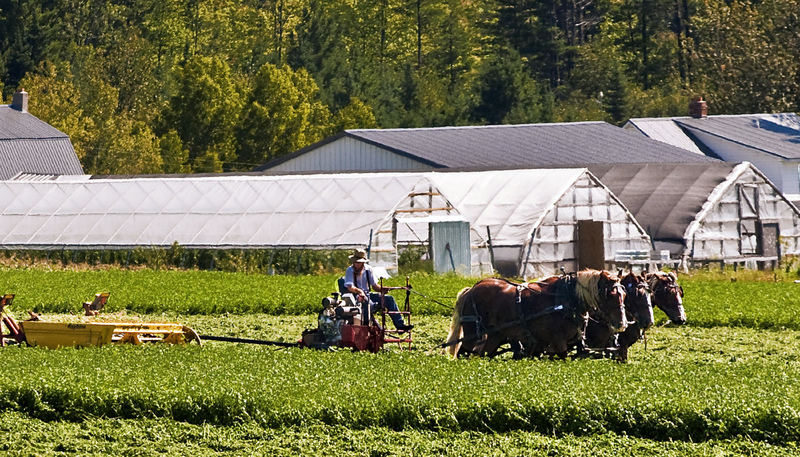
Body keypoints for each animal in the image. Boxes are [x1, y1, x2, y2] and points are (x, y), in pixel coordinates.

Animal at [446, 268, 628, 358]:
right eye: (610, 294)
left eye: (624, 294)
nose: (622, 323)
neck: (567, 298)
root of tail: (470, 290)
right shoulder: (558, 342)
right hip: (472, 333)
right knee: (463, 352)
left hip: (494, 335)